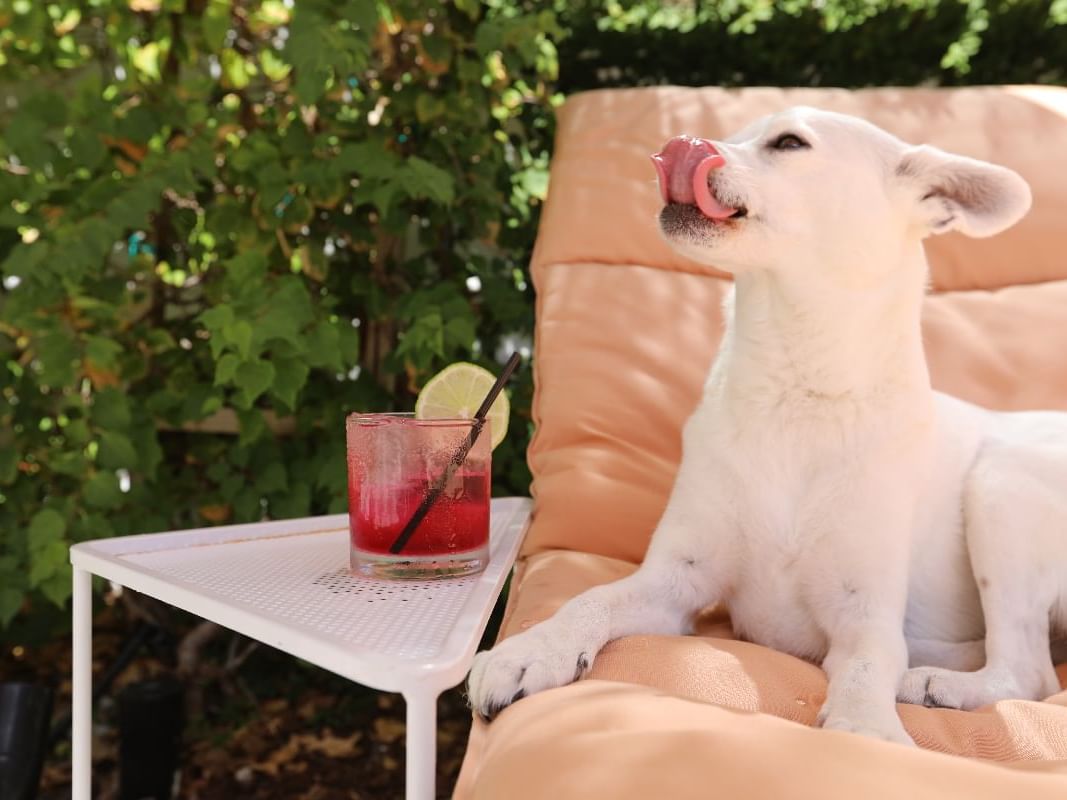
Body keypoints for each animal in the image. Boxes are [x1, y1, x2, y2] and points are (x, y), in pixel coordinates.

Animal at [469, 106, 1067, 746]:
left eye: (788, 143)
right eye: (733, 135)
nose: (683, 143)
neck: (797, 392)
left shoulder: (865, 612)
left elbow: (870, 663)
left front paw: (866, 726)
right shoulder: (672, 581)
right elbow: (590, 599)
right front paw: (534, 649)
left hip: (1001, 488)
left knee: (1027, 672)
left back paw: (940, 680)